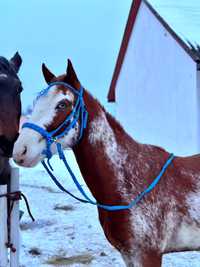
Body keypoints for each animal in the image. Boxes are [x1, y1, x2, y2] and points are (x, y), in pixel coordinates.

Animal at [13, 59, 200, 266]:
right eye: (36, 103)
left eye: (62, 104)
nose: (20, 150)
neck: (128, 180)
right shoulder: (129, 255)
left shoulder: (148, 255)